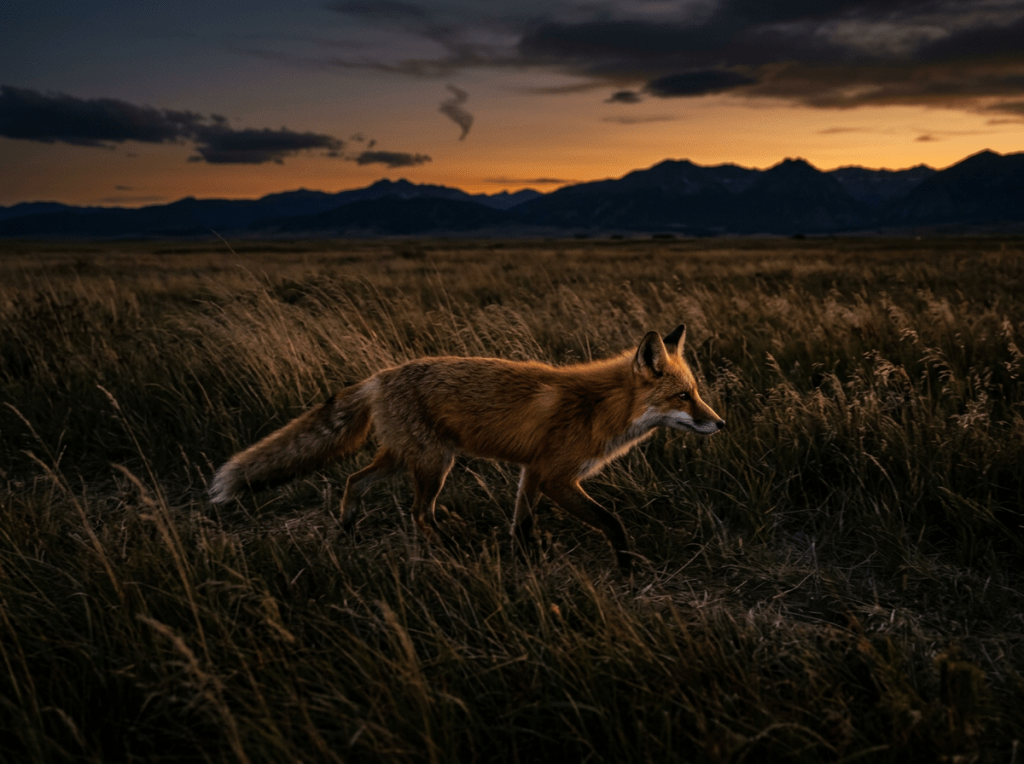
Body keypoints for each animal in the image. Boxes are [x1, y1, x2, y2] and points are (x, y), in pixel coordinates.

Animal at [209, 324, 725, 571]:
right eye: (684, 397)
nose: (719, 423)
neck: (600, 407)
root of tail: (379, 377)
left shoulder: (532, 472)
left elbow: (522, 523)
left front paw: (527, 559)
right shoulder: (557, 477)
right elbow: (612, 522)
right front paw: (626, 567)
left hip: (406, 459)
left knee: (355, 481)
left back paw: (349, 530)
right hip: (435, 463)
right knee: (418, 513)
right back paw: (448, 548)